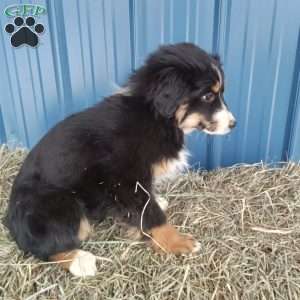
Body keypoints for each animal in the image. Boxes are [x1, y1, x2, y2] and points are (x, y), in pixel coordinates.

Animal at [4, 42, 234, 276]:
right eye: (208, 96)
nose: (233, 124)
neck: (155, 115)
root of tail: (11, 222)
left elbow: (147, 205)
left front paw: (158, 202)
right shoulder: (125, 180)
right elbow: (151, 214)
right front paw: (178, 242)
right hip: (60, 204)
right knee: (44, 247)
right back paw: (80, 261)